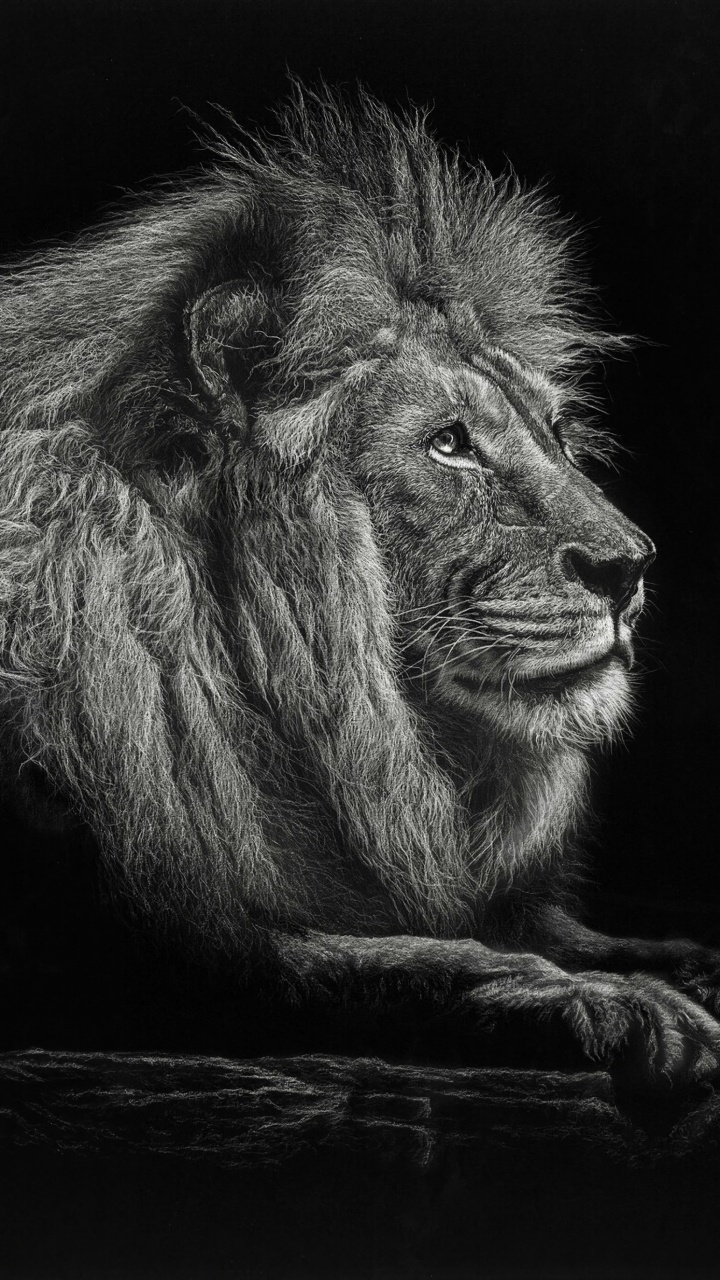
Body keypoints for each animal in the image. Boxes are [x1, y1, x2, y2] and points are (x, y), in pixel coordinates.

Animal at [1, 84, 719, 1086]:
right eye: (448, 444)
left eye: (557, 433)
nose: (631, 566)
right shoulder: (175, 948)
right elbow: (413, 961)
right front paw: (610, 1002)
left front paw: (667, 961)